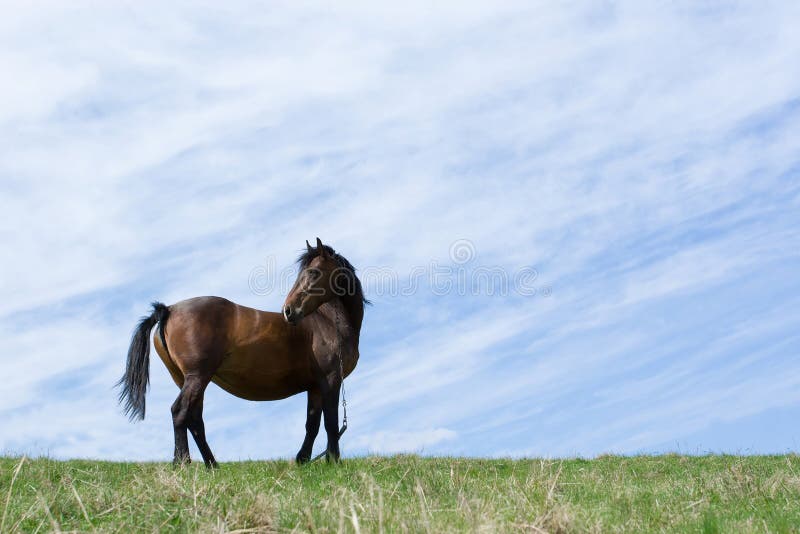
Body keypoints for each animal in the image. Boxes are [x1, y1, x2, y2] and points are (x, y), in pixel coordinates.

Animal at [117, 240, 368, 468]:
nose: (288, 311)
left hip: (189, 380)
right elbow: (331, 423)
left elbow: (313, 424)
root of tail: (168, 309)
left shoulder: (315, 386)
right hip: (197, 377)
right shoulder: (330, 380)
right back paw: (183, 463)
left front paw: (303, 460)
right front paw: (333, 461)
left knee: (194, 419)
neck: (328, 321)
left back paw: (212, 465)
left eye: (314, 272)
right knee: (180, 413)